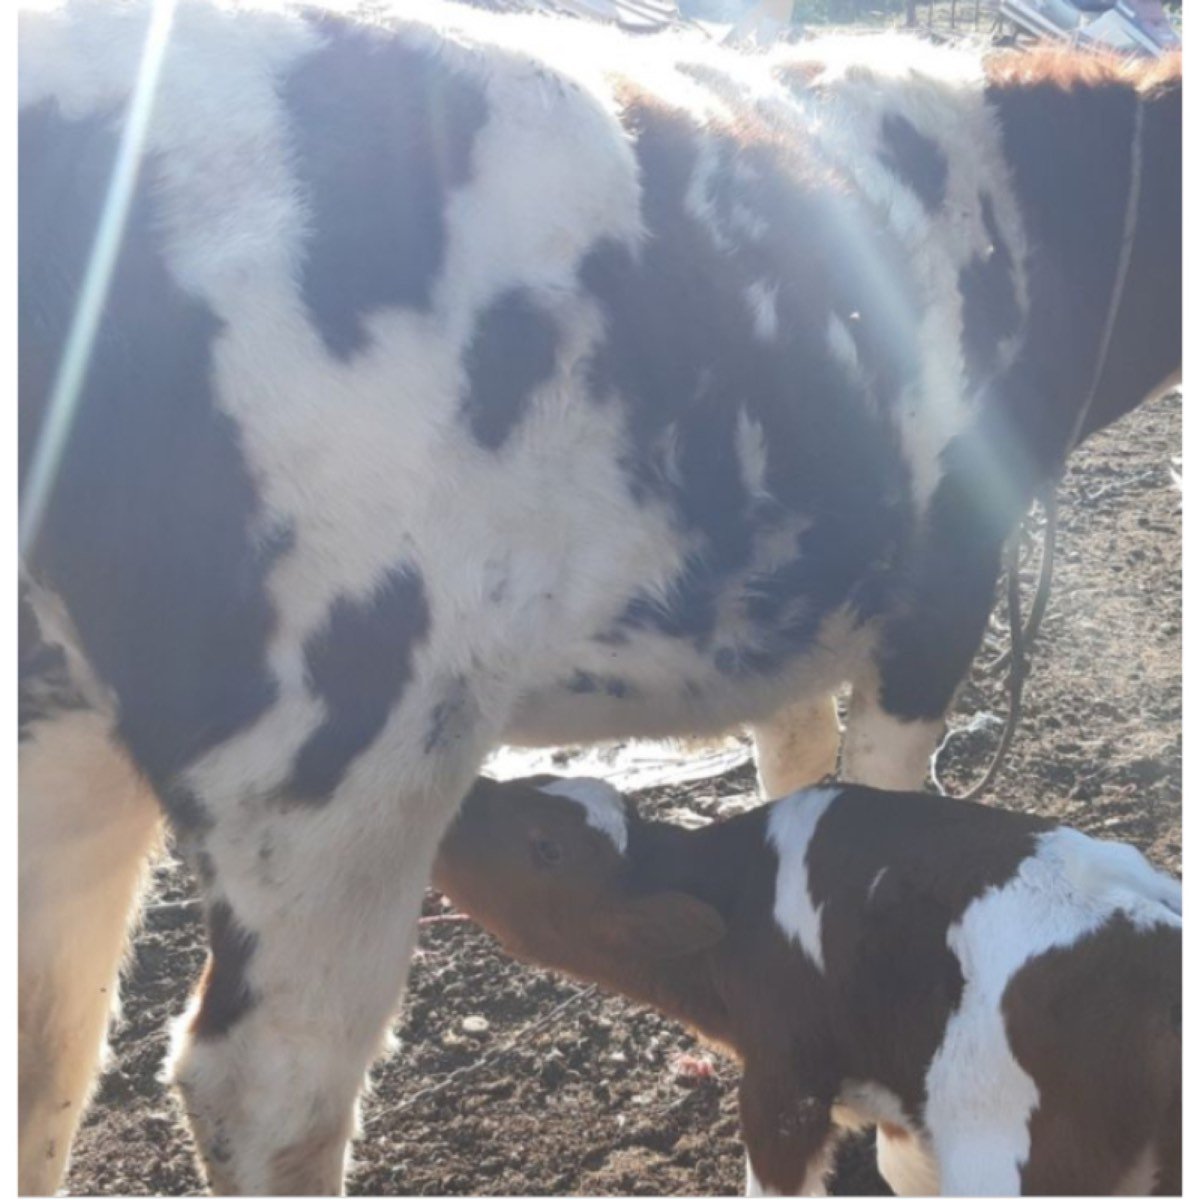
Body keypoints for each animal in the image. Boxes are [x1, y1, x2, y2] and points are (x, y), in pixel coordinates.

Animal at [18, 1, 1181, 1192]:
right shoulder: (939, 596)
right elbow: (884, 796)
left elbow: (799, 774)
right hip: (339, 736)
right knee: (270, 1084)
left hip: (66, 731)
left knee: (49, 1041)